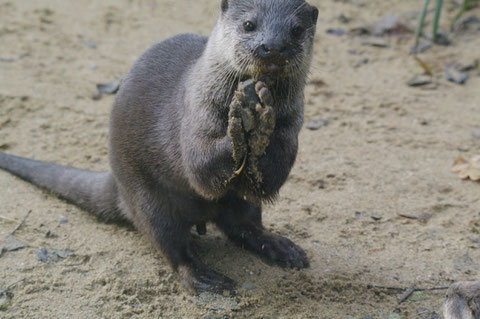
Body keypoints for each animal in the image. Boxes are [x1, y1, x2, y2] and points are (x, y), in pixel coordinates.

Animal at [0, 0, 318, 296]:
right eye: (249, 24)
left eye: (296, 30)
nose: (273, 47)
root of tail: (117, 186)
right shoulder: (196, 110)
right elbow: (200, 167)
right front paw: (243, 121)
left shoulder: (292, 126)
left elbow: (271, 177)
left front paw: (260, 123)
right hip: (147, 198)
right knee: (171, 245)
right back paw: (204, 277)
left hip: (237, 205)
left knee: (243, 224)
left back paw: (280, 247)